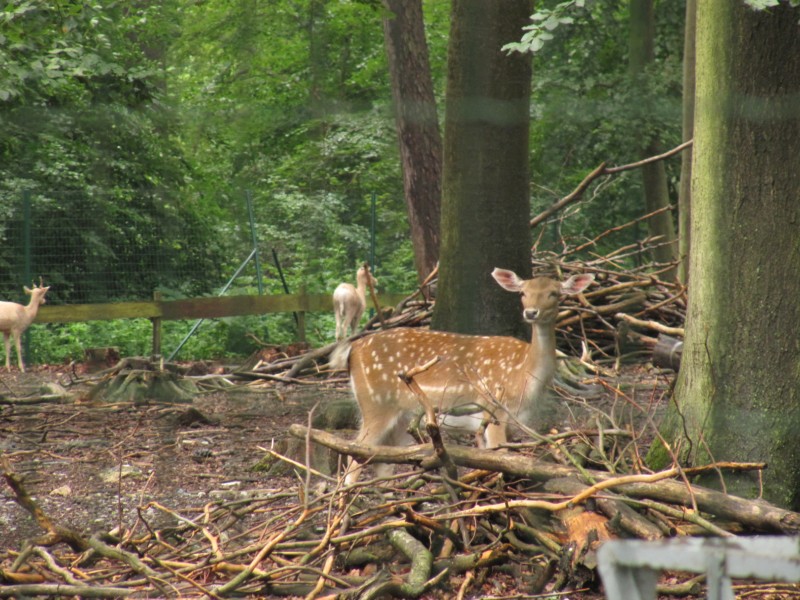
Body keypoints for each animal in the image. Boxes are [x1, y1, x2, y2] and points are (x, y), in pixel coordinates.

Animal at [326, 268, 592, 482]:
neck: (524, 377)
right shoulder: (494, 411)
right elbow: (501, 459)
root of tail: (352, 352)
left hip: (401, 417)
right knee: (354, 458)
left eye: (554, 293)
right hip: (375, 404)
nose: (531, 313)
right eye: (523, 293)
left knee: (382, 462)